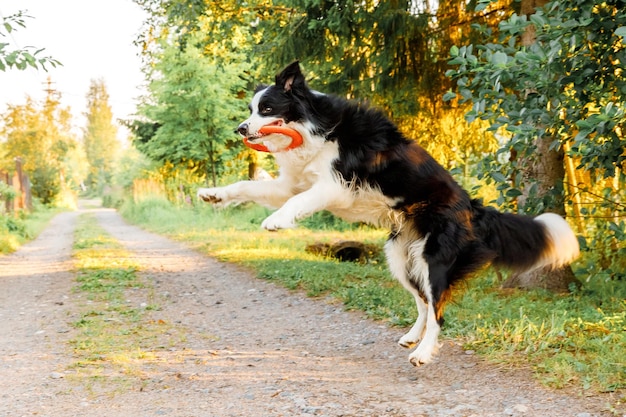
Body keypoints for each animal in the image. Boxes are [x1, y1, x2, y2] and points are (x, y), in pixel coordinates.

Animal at [197, 61, 576, 364]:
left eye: (266, 108)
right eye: (250, 109)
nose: (241, 129)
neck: (314, 126)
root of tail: (472, 208)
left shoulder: (333, 185)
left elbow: (296, 202)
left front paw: (276, 221)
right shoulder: (293, 183)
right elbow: (246, 186)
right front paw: (213, 194)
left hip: (435, 259)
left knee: (438, 310)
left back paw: (423, 352)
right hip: (400, 256)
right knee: (424, 302)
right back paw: (413, 337)